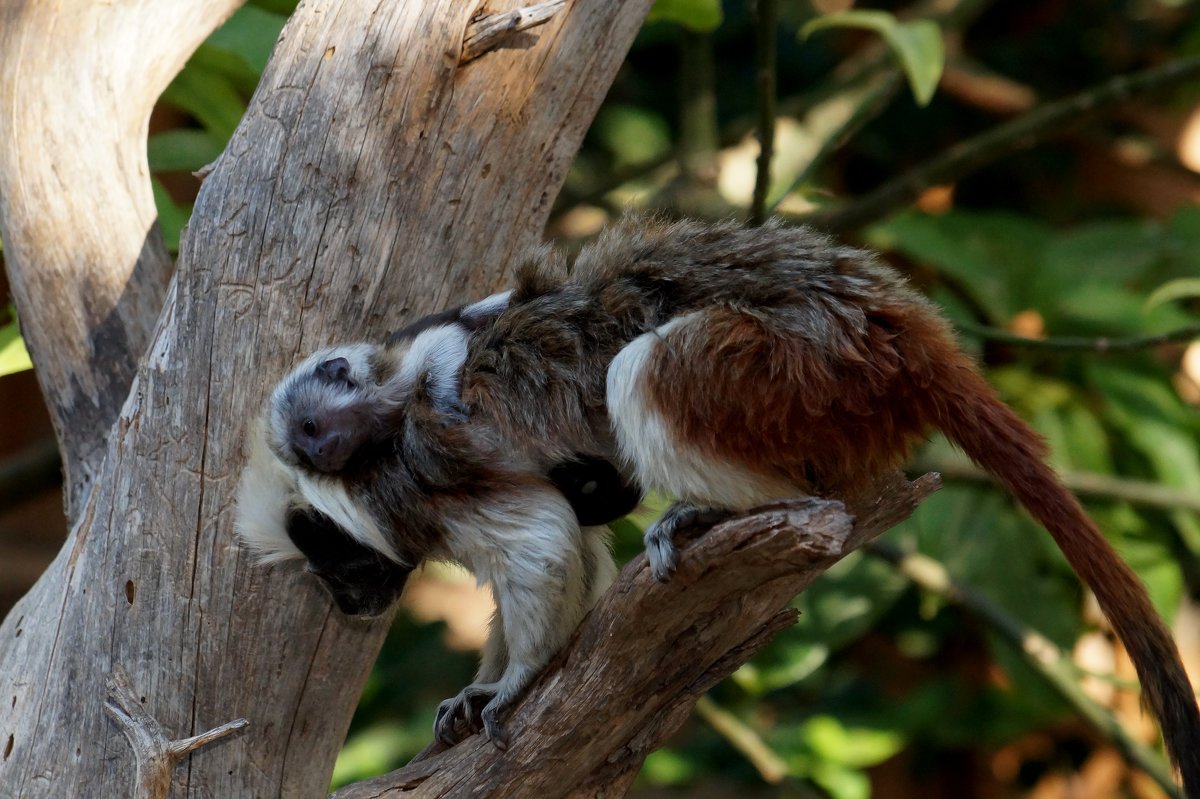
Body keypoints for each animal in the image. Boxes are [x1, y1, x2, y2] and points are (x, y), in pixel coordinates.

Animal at [234, 213, 1200, 791]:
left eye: (340, 560)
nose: (350, 602)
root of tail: (891, 321)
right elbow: (572, 535)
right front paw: (478, 690)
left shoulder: (415, 477)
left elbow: (541, 538)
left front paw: (513, 682)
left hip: (796, 366)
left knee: (644, 367)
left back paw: (731, 507)